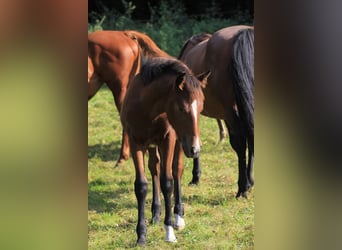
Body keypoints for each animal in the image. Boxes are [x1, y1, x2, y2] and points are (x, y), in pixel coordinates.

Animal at [120, 56, 211, 244]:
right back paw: (156, 212)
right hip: (157, 146)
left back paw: (178, 216)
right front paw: (141, 234)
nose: (195, 149)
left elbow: (167, 182)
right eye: (182, 108)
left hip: (179, 143)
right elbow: (141, 186)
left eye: (200, 108)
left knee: (176, 170)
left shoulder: (168, 140)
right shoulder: (135, 143)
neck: (147, 109)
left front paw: (169, 230)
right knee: (154, 167)